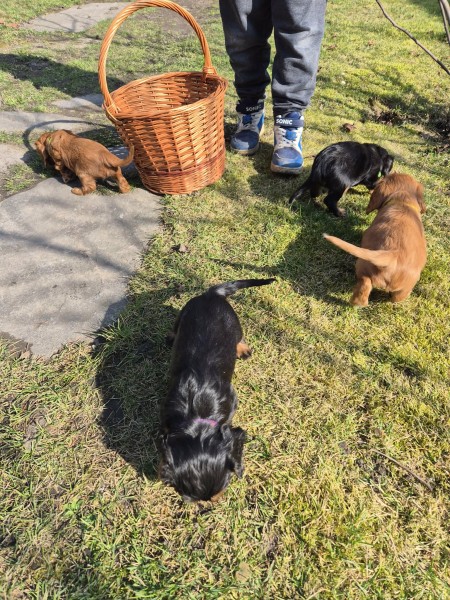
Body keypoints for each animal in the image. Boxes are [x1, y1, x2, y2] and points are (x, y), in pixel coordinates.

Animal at [159, 278, 275, 502]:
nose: (208, 507)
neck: (197, 417)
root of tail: (211, 294)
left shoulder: (232, 399)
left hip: (234, 323)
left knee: (239, 336)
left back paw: (242, 349)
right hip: (184, 312)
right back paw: (170, 337)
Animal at [323, 173, 426, 306]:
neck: (403, 201)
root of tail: (393, 255)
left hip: (363, 266)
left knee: (365, 286)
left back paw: (356, 303)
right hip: (405, 286)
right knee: (391, 296)